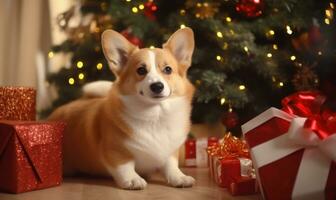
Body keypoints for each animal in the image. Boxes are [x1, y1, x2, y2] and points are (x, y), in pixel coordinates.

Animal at [47, 27, 196, 190]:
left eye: (168, 69)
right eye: (141, 70)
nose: (157, 86)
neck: (154, 115)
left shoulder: (170, 152)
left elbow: (171, 165)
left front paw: (179, 177)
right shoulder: (115, 151)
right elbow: (125, 167)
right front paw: (133, 180)